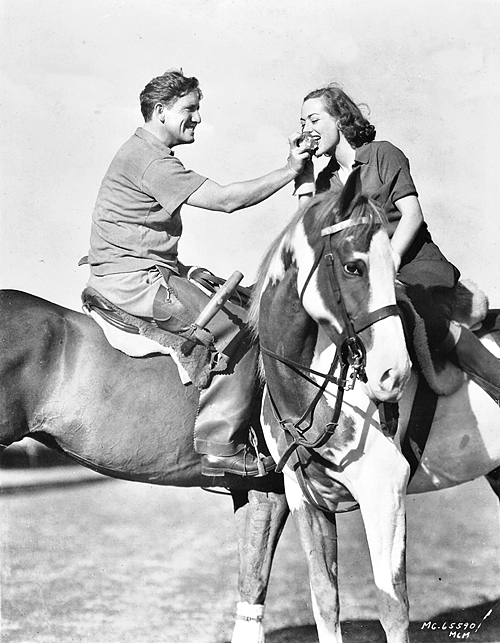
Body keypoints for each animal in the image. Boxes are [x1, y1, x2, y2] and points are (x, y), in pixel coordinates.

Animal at [250, 181, 500, 643]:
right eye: (353, 267)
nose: (392, 373)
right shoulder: (305, 500)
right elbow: (324, 600)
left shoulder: (384, 492)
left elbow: (392, 606)